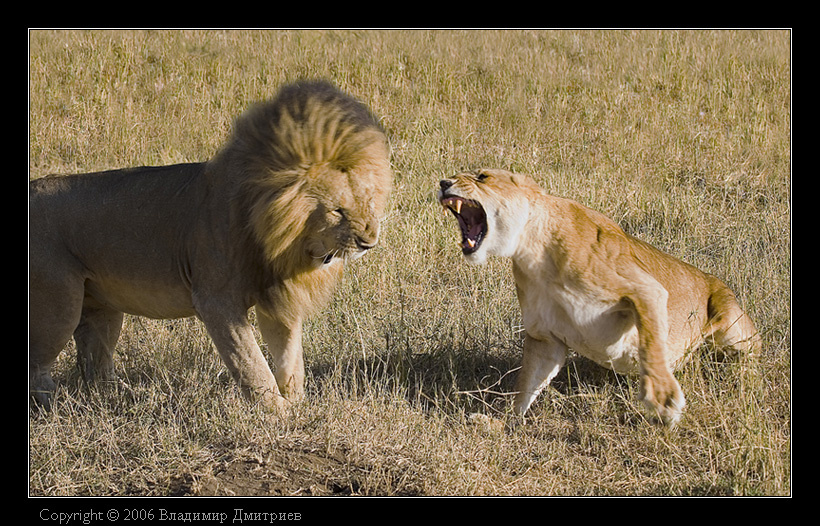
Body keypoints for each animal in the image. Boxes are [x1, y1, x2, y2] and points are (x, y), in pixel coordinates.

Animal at [29, 80, 392, 411]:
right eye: (337, 210)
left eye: (369, 200)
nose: (369, 241)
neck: (285, 241)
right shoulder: (215, 301)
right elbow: (251, 363)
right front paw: (279, 414)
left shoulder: (276, 300)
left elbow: (290, 359)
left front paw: (299, 404)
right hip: (58, 303)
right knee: (39, 366)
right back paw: (56, 408)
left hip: (101, 306)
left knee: (94, 361)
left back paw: (115, 399)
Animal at [438, 168, 760, 426]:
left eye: (482, 176)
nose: (443, 182)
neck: (533, 251)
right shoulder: (545, 337)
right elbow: (527, 383)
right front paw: (502, 422)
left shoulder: (647, 289)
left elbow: (651, 343)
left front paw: (663, 397)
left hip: (731, 324)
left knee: (752, 352)